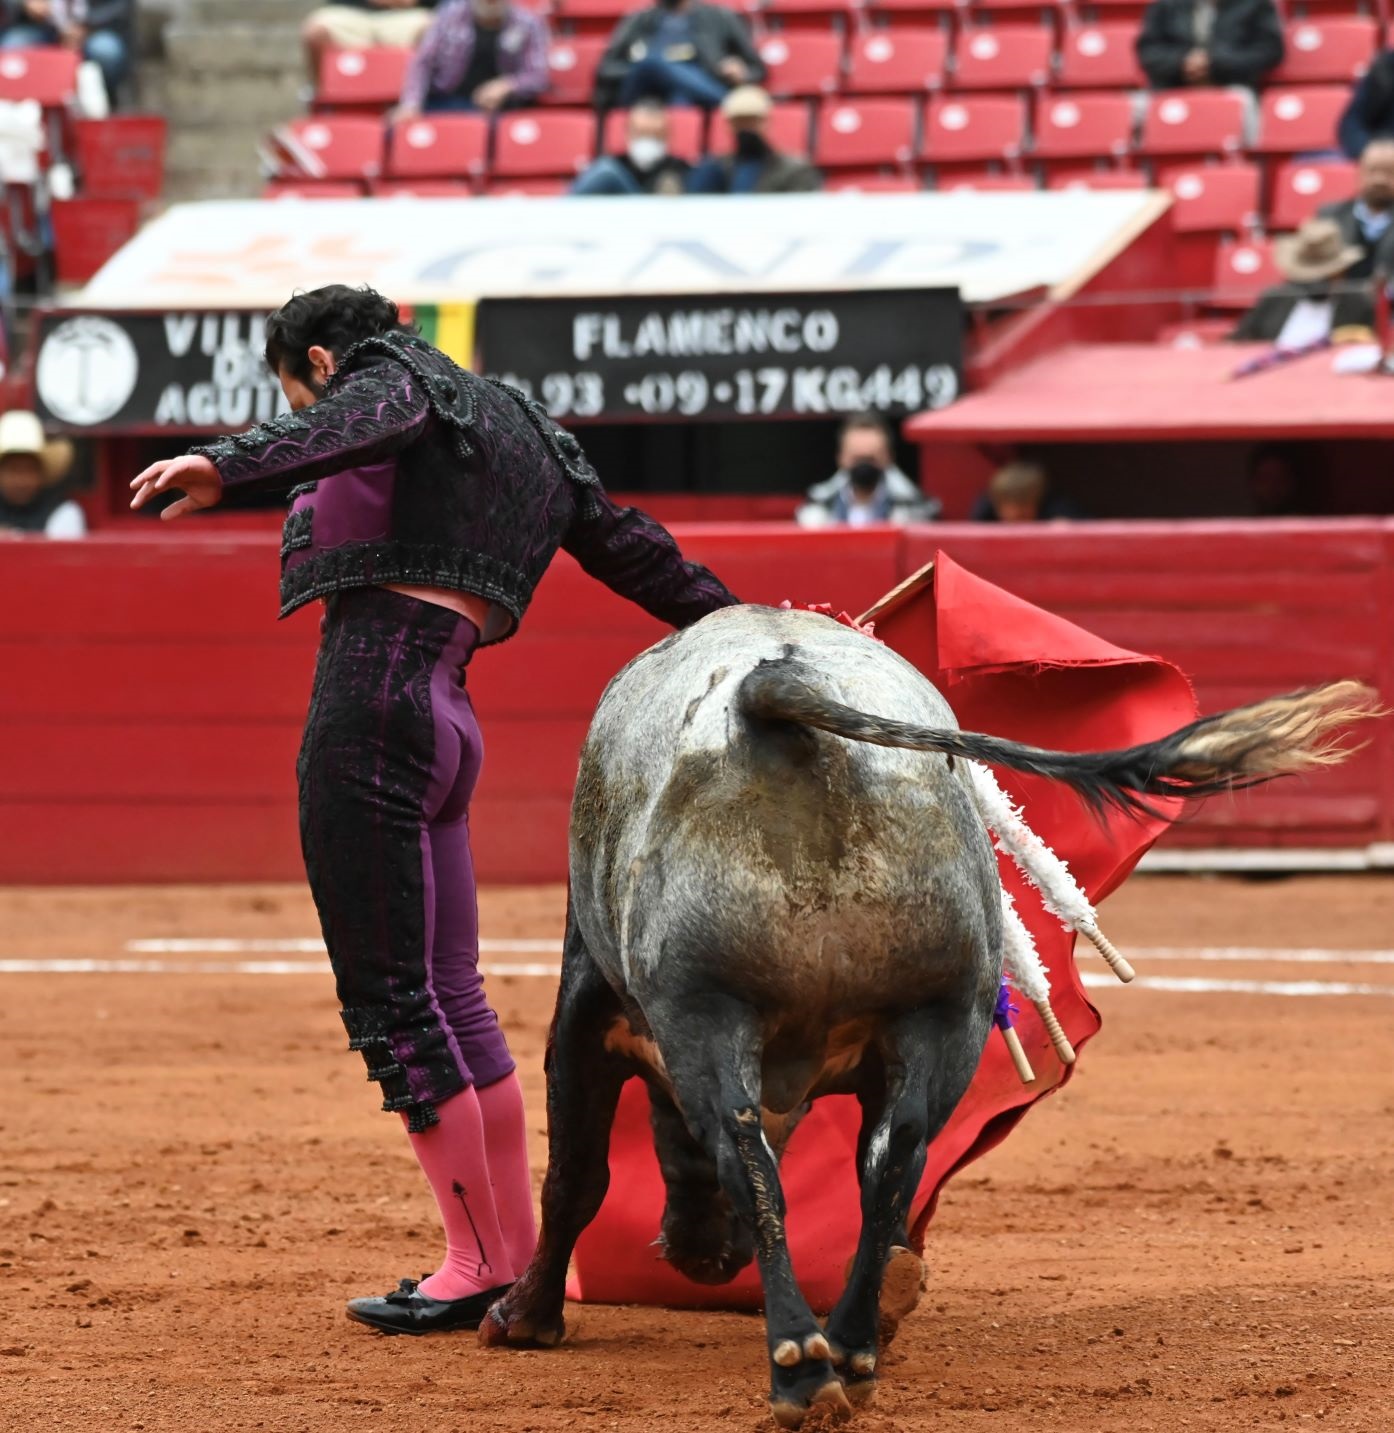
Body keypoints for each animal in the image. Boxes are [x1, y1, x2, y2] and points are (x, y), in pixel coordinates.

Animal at [481, 603, 1377, 1426]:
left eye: (666, 1131)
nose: (699, 1258)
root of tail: (776, 684)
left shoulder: (585, 1014)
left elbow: (575, 1175)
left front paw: (524, 1318)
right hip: (942, 1014)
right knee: (894, 1160)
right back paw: (850, 1351)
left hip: (710, 1011)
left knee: (751, 1156)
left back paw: (801, 1371)